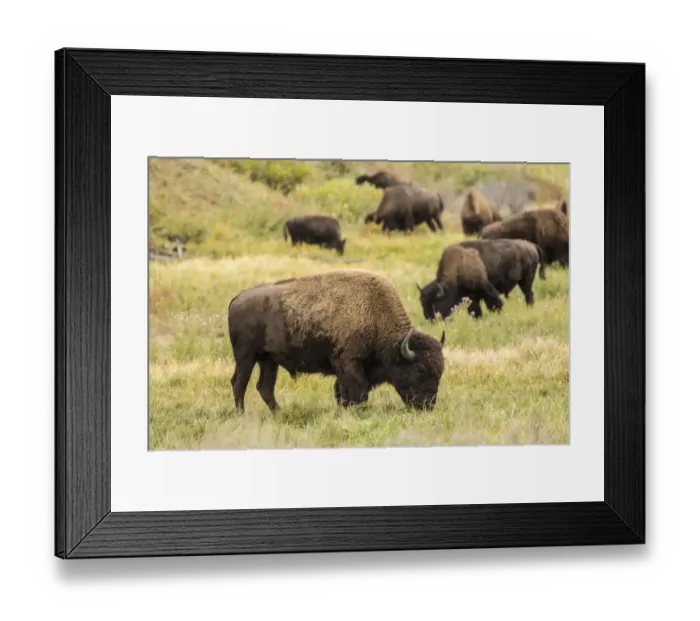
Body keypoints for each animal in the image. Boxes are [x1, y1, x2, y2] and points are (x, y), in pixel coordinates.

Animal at [227, 270, 446, 412]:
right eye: (419, 370)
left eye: (440, 372)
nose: (428, 405)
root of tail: (236, 299)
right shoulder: (350, 364)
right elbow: (357, 393)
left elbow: (342, 393)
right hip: (246, 357)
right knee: (239, 383)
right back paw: (242, 415)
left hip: (268, 360)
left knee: (264, 387)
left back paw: (279, 414)